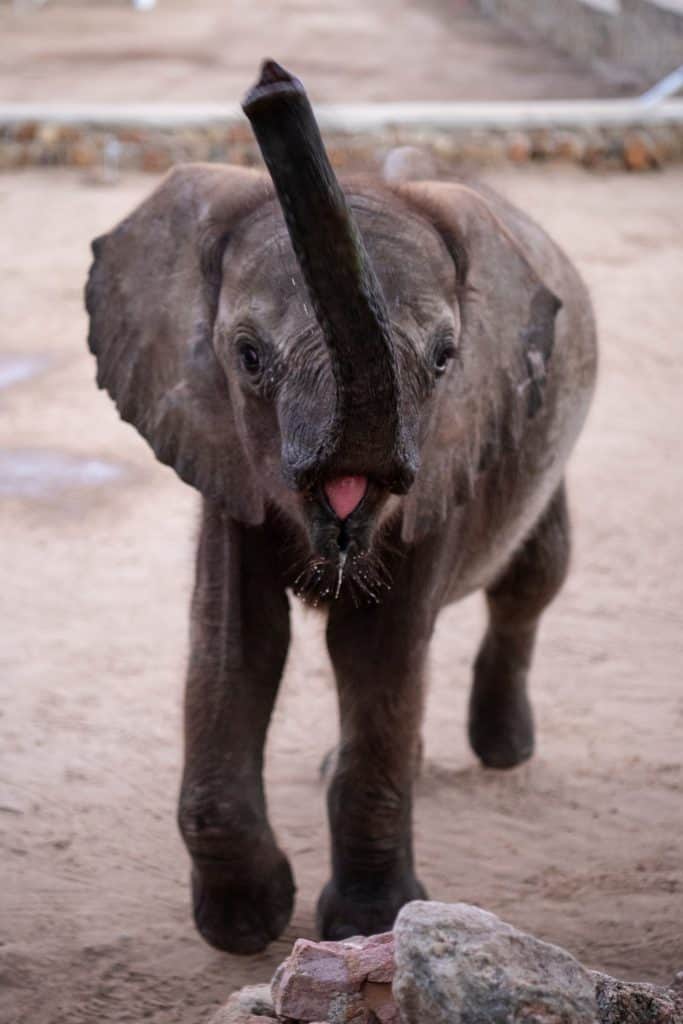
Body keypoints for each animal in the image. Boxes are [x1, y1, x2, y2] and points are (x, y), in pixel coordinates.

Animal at [85, 61, 597, 954]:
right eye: (248, 357)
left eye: (444, 357)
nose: (270, 83)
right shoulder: (224, 455)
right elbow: (235, 640)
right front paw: (244, 926)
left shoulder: (450, 455)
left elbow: (377, 646)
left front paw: (367, 924)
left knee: (531, 579)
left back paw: (503, 751)